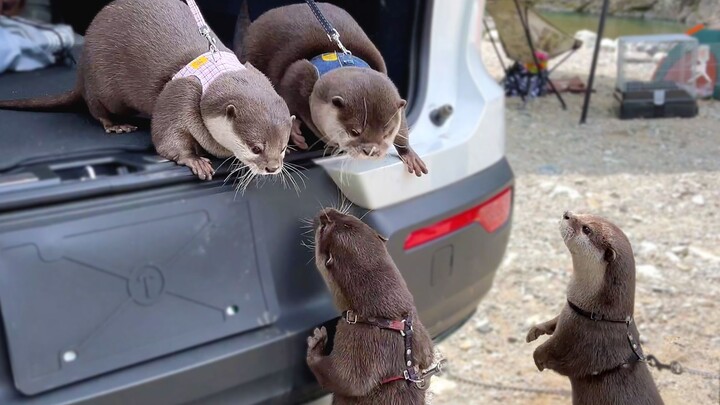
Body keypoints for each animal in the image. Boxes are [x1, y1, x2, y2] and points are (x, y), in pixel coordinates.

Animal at [0, 0, 294, 178]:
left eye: (281, 147)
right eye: (256, 148)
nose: (272, 168)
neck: (214, 75)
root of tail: (81, 72)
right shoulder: (181, 95)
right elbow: (167, 139)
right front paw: (194, 160)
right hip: (100, 83)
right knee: (95, 106)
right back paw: (116, 125)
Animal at [236, 2, 428, 177]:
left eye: (386, 133)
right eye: (354, 131)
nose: (371, 151)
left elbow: (402, 126)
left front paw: (409, 154)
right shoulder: (298, 73)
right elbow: (286, 98)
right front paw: (295, 131)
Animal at [308, 207, 434, 402]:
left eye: (323, 228)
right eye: (348, 217)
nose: (325, 212)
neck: (384, 318)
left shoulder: (359, 342)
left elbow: (344, 379)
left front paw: (316, 342)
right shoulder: (422, 337)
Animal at [524, 211, 668, 404]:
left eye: (586, 229)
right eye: (584, 213)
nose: (567, 213)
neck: (598, 315)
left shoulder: (578, 340)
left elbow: (554, 353)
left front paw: (538, 359)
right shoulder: (568, 312)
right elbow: (554, 321)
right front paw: (536, 330)